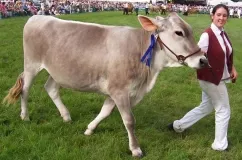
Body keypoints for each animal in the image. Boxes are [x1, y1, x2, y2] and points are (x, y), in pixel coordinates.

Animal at [2, 12, 208, 158]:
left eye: (190, 30)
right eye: (179, 32)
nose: (203, 60)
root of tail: (37, 16)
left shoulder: (117, 91)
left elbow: (105, 111)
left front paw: (89, 129)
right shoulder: (120, 90)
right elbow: (129, 120)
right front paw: (135, 149)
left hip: (59, 70)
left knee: (50, 88)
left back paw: (66, 116)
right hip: (31, 64)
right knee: (25, 89)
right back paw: (25, 116)